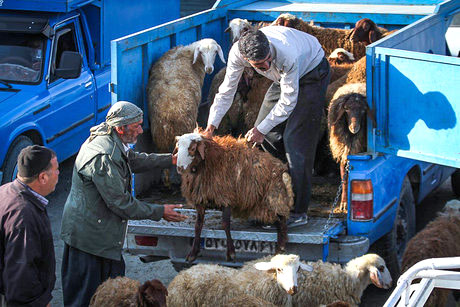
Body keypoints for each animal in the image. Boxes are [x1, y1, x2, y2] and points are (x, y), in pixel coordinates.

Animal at [172, 132, 294, 262]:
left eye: (192, 148)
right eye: (178, 147)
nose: (179, 168)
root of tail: (281, 166)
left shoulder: (226, 197)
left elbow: (225, 224)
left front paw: (231, 252)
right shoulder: (201, 198)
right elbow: (198, 225)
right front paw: (193, 253)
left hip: (275, 195)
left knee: (282, 218)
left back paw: (281, 245)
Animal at [328, 83, 374, 213]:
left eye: (363, 110)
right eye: (347, 109)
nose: (354, 127)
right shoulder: (342, 152)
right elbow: (344, 178)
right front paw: (344, 203)